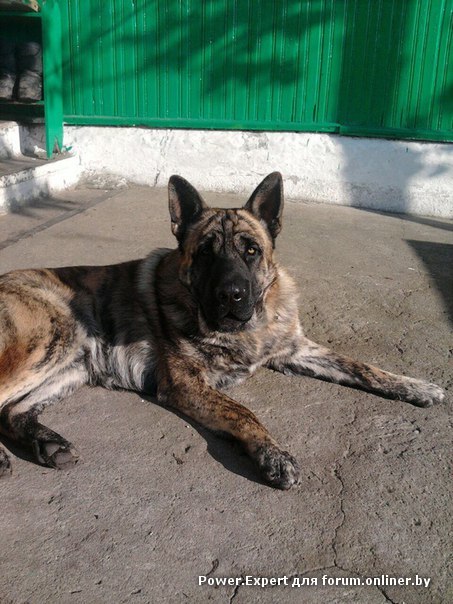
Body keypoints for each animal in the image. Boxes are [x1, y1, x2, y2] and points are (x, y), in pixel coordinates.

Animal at [0, 173, 445, 489]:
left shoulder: (296, 349)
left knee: (12, 411)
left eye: (251, 250)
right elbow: (244, 412)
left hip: (72, 362)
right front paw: (274, 456)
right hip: (52, 338)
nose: (231, 295)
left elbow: (361, 366)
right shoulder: (186, 384)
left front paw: (414, 385)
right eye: (205, 252)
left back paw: (48, 444)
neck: (251, 327)